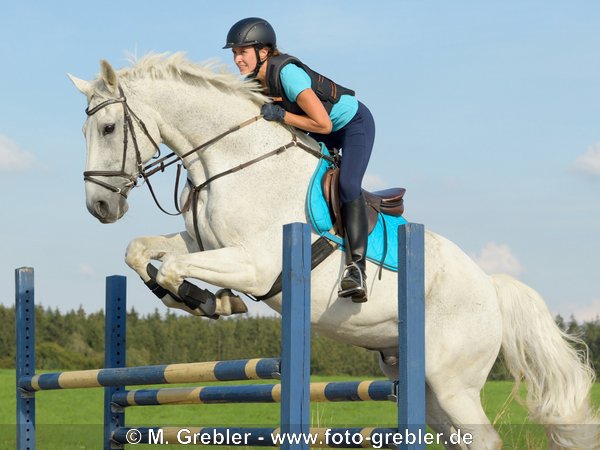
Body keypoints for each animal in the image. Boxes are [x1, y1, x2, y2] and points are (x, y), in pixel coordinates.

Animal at [68, 54, 596, 448]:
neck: (234, 160)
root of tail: (490, 286)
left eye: (109, 129)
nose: (99, 206)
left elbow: (175, 266)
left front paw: (206, 300)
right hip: (424, 385)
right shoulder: (206, 243)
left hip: (454, 384)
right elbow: (140, 251)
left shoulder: (255, 264)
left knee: (484, 439)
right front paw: (202, 300)